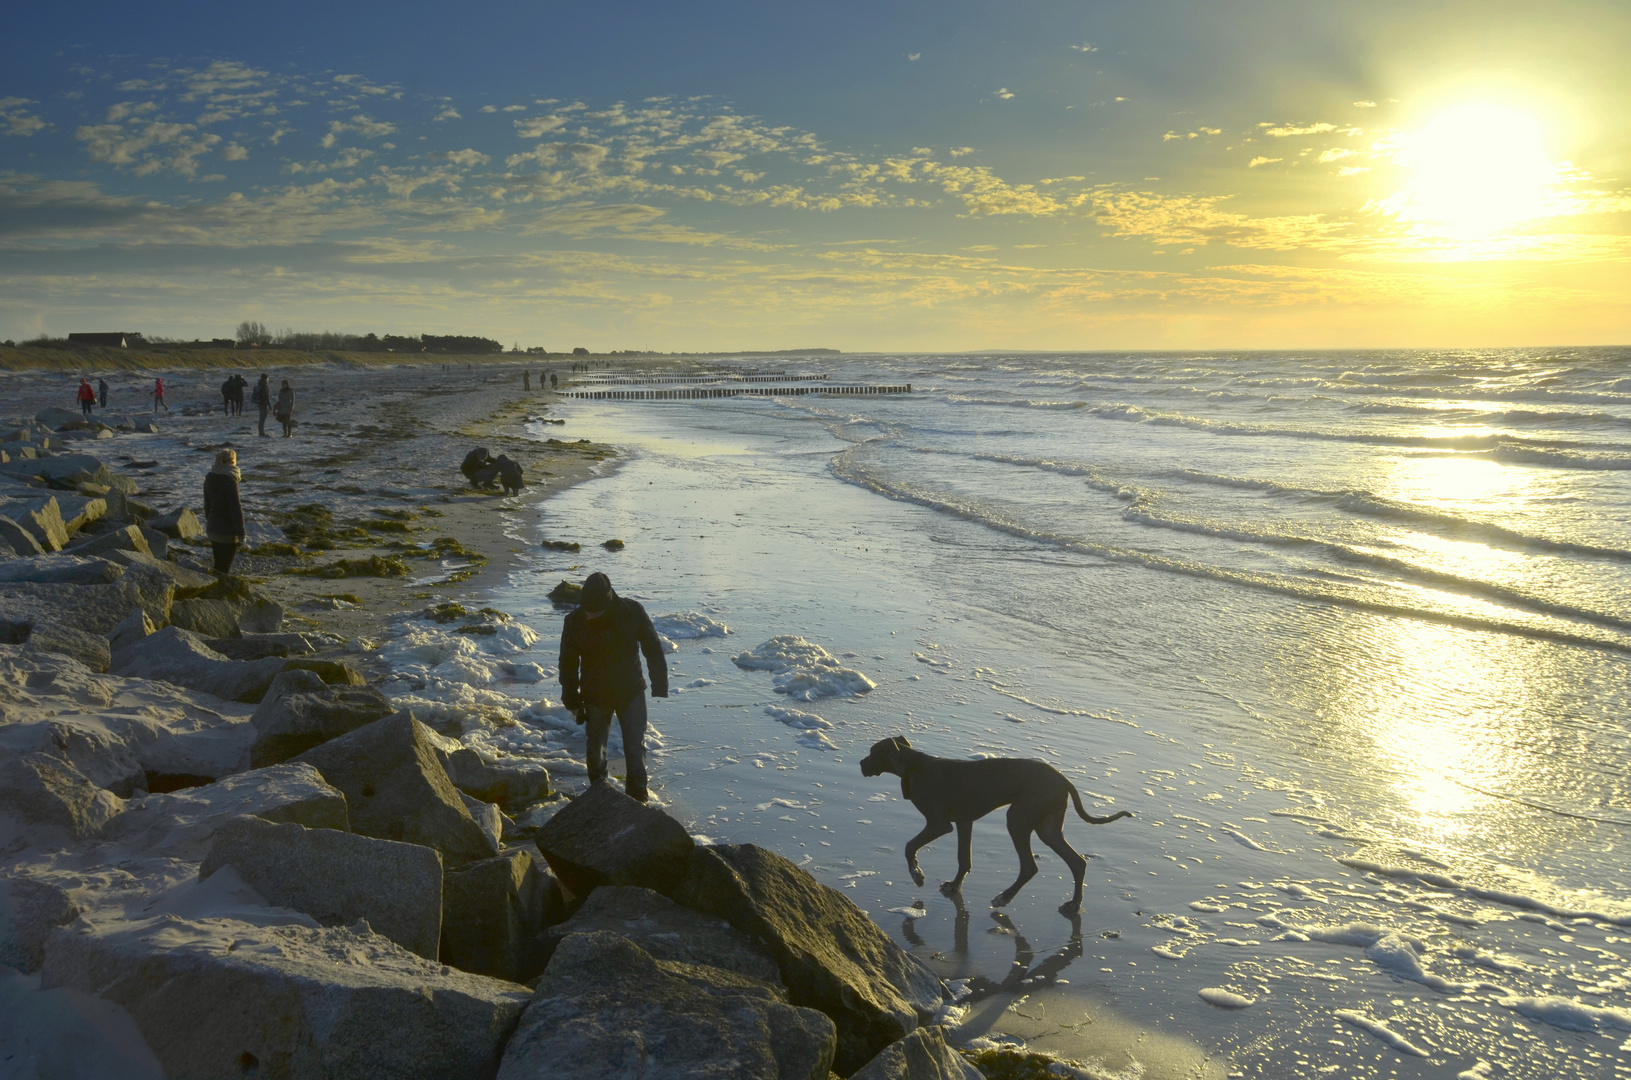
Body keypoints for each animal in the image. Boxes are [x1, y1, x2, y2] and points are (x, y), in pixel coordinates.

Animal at [854, 737, 1135, 913]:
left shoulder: (939, 824)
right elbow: (963, 859)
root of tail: (1061, 778)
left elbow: (909, 846)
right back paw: (1073, 905)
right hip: (1048, 827)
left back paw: (1005, 897)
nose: (860, 764)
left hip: (1018, 819)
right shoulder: (964, 822)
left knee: (1030, 867)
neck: (915, 766)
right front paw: (954, 885)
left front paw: (917, 874)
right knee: (1078, 862)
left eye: (872, 752)